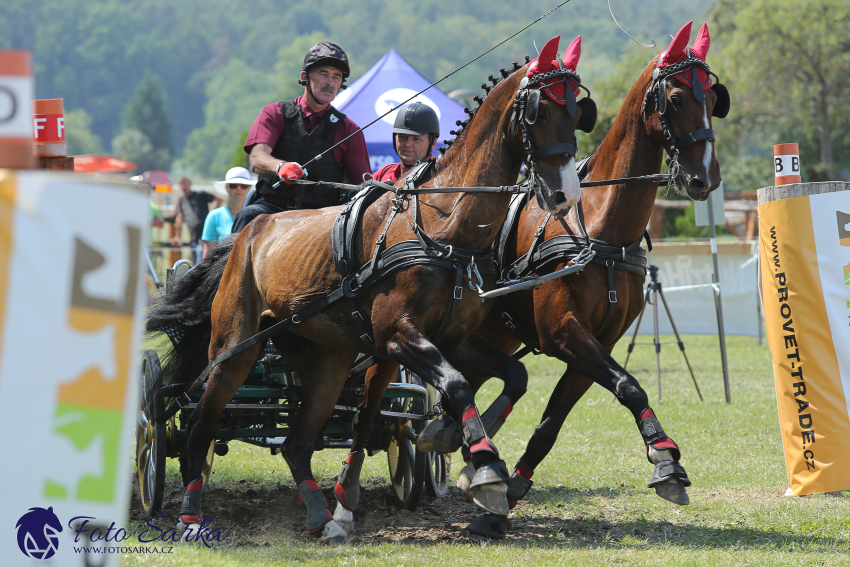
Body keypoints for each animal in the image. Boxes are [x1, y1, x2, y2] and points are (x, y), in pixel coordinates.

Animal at [146, 33, 592, 544]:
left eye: (577, 111)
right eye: (538, 110)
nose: (566, 194)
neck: (441, 223)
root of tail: (247, 236)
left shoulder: (453, 340)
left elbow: (511, 377)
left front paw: (455, 440)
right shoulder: (400, 336)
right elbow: (459, 385)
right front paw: (485, 470)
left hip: (327, 360)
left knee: (297, 442)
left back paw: (322, 516)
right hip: (234, 349)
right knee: (200, 425)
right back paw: (191, 516)